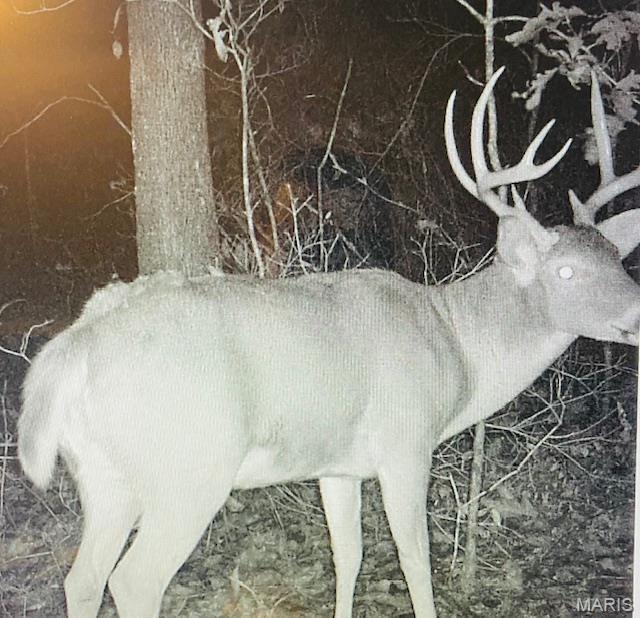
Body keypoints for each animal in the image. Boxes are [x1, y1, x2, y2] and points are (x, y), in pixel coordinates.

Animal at [18, 68, 640, 618]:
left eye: (617, 257)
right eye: (565, 272)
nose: (636, 313)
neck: (456, 343)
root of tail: (71, 350)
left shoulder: (338, 467)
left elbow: (349, 557)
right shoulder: (405, 442)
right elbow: (415, 563)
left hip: (103, 475)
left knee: (81, 579)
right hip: (188, 468)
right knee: (132, 580)